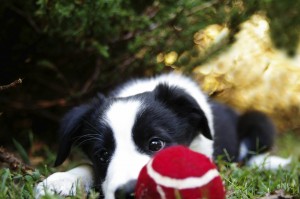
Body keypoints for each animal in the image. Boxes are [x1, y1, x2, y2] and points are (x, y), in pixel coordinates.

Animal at [36, 72, 278, 198]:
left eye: (155, 144)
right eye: (102, 154)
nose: (129, 192)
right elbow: (89, 168)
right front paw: (63, 180)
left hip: (259, 121)